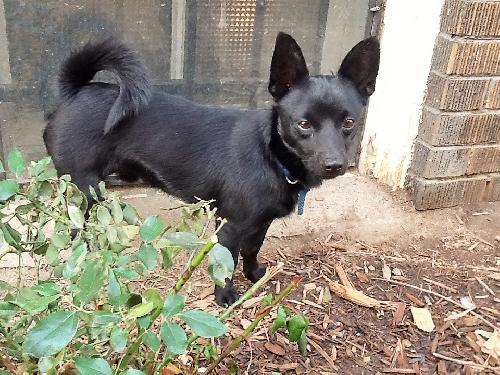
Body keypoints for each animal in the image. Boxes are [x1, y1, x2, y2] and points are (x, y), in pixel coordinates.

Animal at [44, 33, 378, 306]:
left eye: (349, 122)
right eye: (304, 124)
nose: (334, 164)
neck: (270, 155)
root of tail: (74, 92)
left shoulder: (260, 222)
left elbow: (253, 249)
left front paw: (255, 273)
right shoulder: (230, 226)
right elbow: (227, 263)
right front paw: (225, 296)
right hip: (85, 189)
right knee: (77, 226)